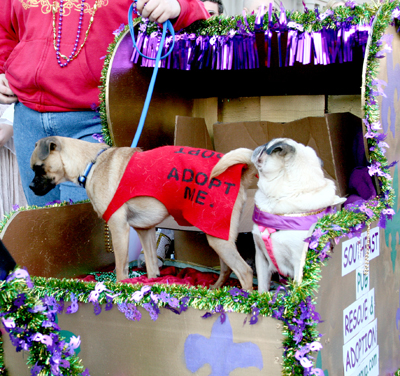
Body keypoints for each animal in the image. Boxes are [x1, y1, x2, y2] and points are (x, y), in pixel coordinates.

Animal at [30, 137, 256, 290]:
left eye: (39, 168)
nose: (31, 187)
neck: (92, 163)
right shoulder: (145, 230)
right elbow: (151, 266)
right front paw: (152, 281)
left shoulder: (118, 226)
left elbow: (121, 268)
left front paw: (121, 289)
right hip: (218, 234)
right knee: (227, 269)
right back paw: (216, 291)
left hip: (218, 239)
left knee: (245, 271)